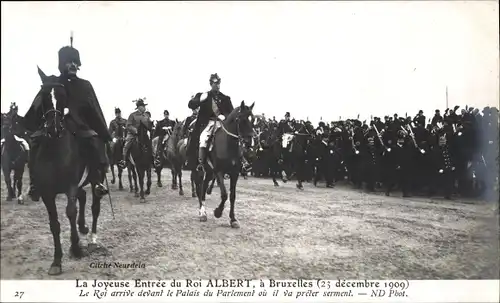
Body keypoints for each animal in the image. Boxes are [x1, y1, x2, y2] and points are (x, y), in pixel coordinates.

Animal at [30, 68, 104, 276]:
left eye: (62, 96)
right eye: (44, 96)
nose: (54, 129)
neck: (54, 151)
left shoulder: (70, 186)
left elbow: (70, 211)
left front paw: (76, 248)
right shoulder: (47, 193)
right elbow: (54, 224)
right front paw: (57, 261)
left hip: (95, 179)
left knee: (94, 206)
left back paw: (92, 238)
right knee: (83, 196)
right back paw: (83, 226)